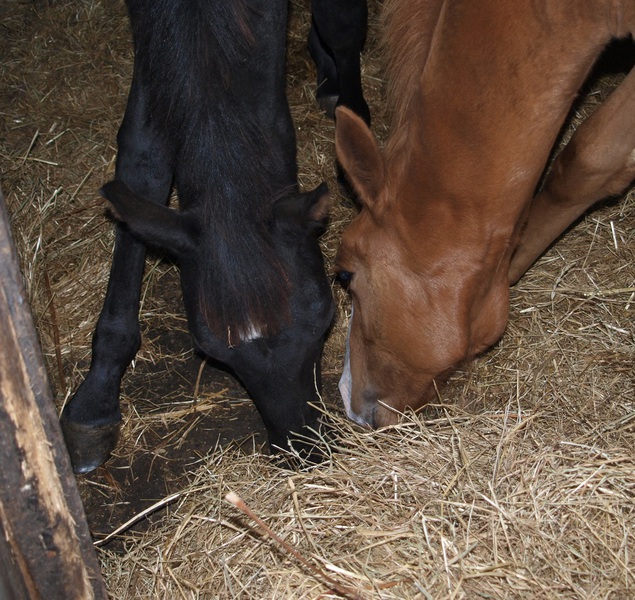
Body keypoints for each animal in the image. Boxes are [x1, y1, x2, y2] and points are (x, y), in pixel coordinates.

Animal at [60, 0, 368, 474]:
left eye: (325, 320)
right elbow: (142, 159)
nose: (303, 449)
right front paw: (97, 397)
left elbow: (342, 24)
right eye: (215, 350)